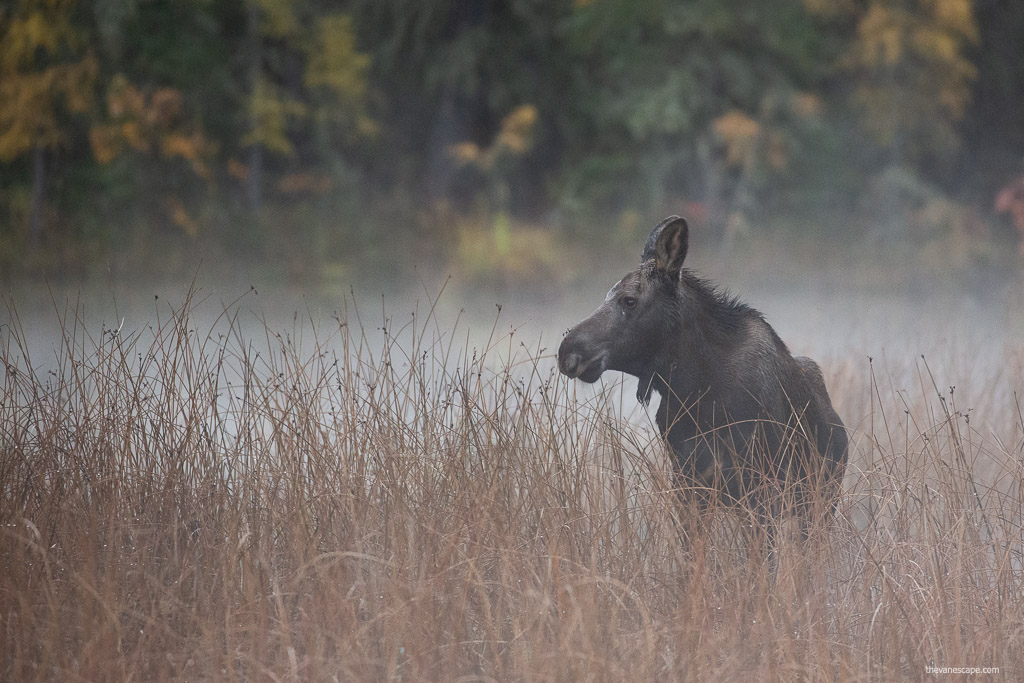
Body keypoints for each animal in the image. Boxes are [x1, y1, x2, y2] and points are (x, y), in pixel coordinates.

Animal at [561, 216, 847, 528]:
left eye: (629, 300)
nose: (567, 351)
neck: (695, 387)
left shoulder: (760, 491)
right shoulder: (688, 488)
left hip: (820, 502)